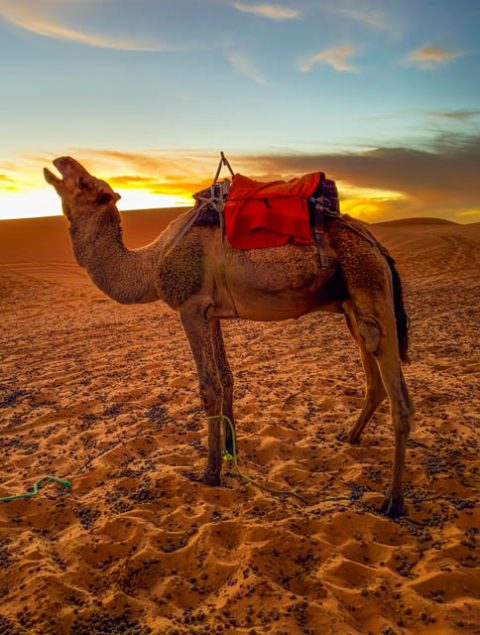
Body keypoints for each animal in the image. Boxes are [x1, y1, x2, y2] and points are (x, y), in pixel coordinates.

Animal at [43, 157, 414, 520]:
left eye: (86, 184)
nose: (59, 161)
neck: (150, 264)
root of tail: (374, 243)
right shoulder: (212, 313)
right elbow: (227, 378)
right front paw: (230, 450)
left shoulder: (190, 307)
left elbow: (209, 387)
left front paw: (209, 473)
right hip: (351, 303)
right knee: (374, 377)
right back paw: (349, 437)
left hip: (368, 282)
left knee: (399, 397)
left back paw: (393, 501)